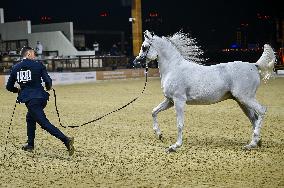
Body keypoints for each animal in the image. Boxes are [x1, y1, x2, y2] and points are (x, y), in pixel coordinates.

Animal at [134, 30, 276, 152]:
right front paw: (159, 134)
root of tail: (254, 65)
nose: (135, 62)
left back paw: (253, 143)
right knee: (254, 118)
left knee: (261, 111)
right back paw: (255, 142)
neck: (173, 68)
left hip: (245, 98)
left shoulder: (179, 100)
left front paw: (175, 146)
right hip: (242, 101)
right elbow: (154, 112)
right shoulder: (170, 101)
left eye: (144, 47)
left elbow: (179, 124)